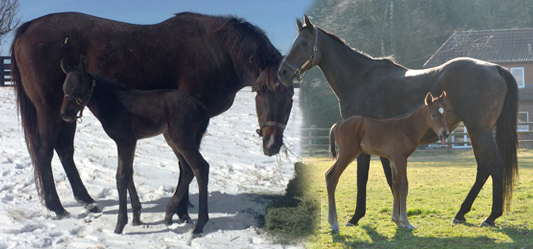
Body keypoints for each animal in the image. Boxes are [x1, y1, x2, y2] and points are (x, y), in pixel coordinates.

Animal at [58, 56, 208, 235]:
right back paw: (169, 214)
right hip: (172, 139)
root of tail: (200, 106)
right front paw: (136, 217)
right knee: (186, 169)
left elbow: (121, 177)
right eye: (64, 87)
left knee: (200, 167)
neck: (112, 104)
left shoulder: (125, 141)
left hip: (182, 138)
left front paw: (120, 225)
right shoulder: (130, 142)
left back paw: (199, 225)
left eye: (80, 85)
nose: (65, 114)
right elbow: (129, 173)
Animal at [326, 92, 446, 232]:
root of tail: (338, 124)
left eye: (444, 113)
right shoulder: (401, 158)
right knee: (331, 177)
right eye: (433, 114)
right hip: (347, 154)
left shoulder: (392, 159)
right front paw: (407, 223)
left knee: (328, 175)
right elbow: (403, 186)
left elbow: (395, 185)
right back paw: (334, 223)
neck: (407, 127)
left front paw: (396, 221)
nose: (445, 133)